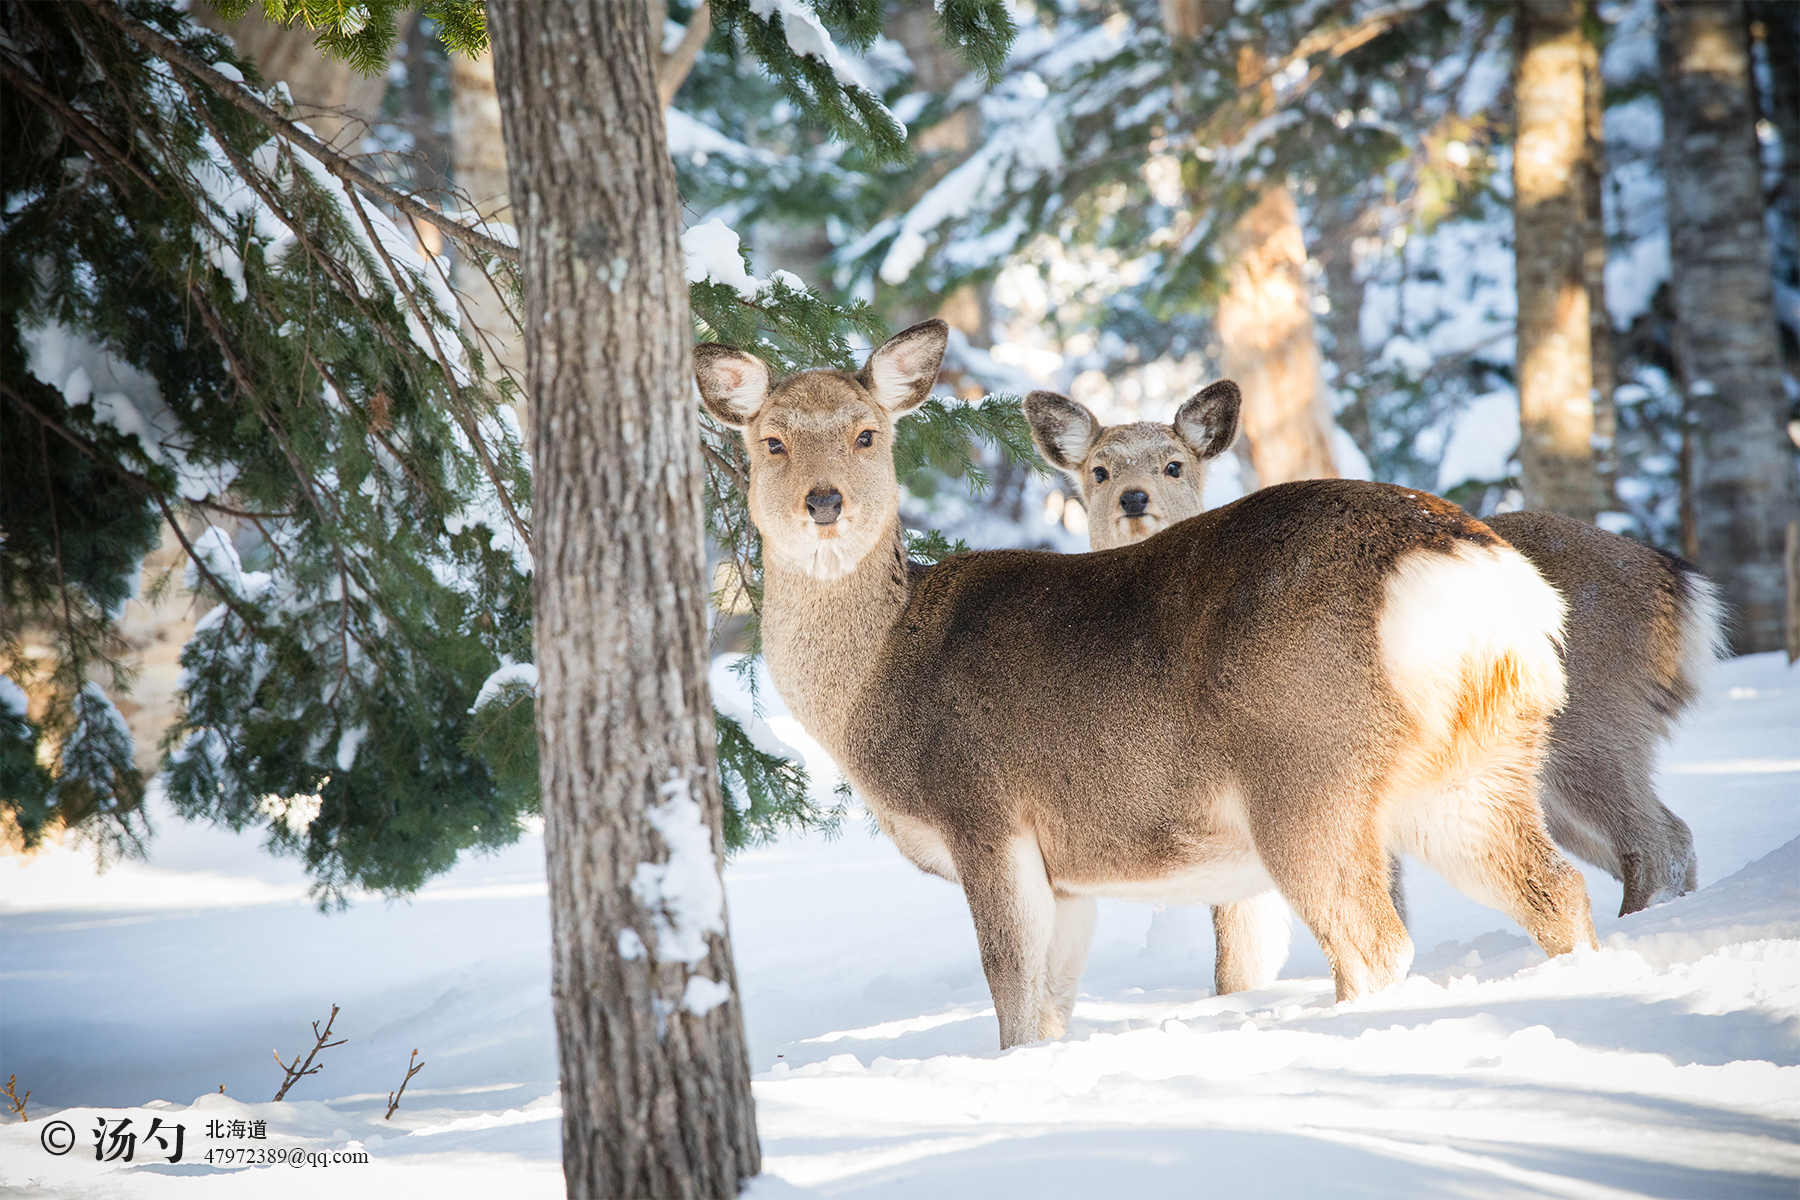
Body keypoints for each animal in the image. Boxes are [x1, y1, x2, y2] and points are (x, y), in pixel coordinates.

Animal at [694, 322, 1598, 1050]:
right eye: (770, 440)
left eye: (868, 435)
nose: (823, 501)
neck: (874, 681)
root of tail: (1476, 577)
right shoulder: (1067, 871)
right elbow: (1050, 1011)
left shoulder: (984, 811)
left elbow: (1010, 996)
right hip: (1476, 769)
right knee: (1559, 892)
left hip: (1308, 773)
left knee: (1377, 946)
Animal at [1029, 392, 1713, 993]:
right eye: (1098, 469)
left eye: (1174, 464)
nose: (1133, 497)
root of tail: (1678, 585)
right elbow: (1241, 959)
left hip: (1582, 739)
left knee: (1659, 841)